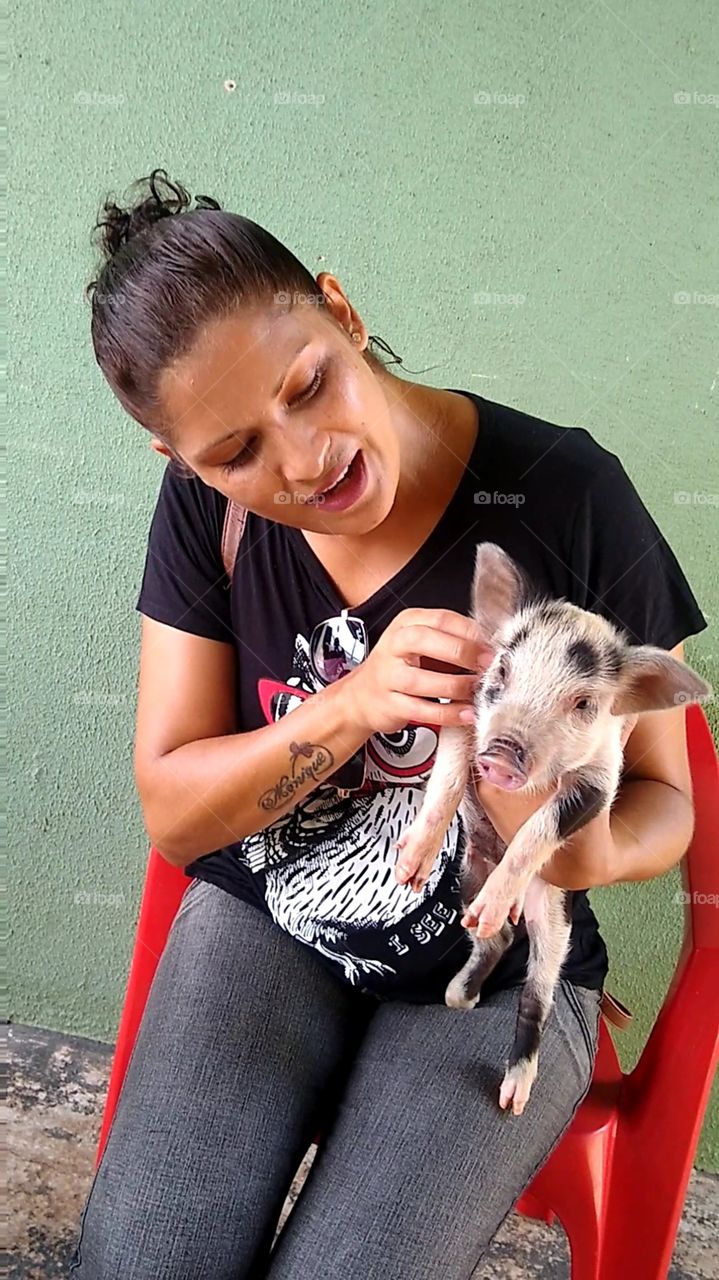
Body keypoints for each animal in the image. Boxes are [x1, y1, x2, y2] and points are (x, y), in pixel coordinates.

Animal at [394, 542, 711, 1116]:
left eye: (583, 704)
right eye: (502, 669)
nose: (502, 753)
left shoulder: (598, 781)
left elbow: (539, 829)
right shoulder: (464, 716)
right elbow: (447, 779)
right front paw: (409, 869)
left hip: (554, 921)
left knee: (533, 996)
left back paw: (512, 1096)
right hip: (469, 872)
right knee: (497, 940)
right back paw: (460, 990)